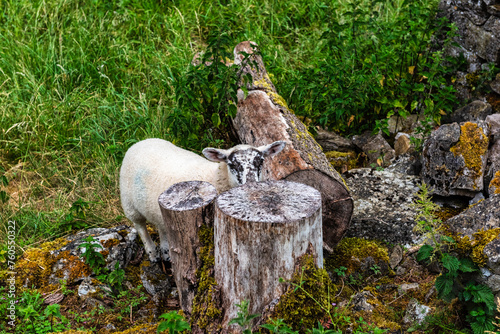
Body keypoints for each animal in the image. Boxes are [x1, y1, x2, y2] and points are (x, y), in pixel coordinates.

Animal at [119, 137, 286, 262]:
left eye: (261, 161)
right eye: (232, 164)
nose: (251, 184)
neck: (215, 176)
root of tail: (143, 141)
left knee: (161, 226)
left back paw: (166, 252)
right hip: (129, 204)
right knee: (140, 226)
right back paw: (152, 253)